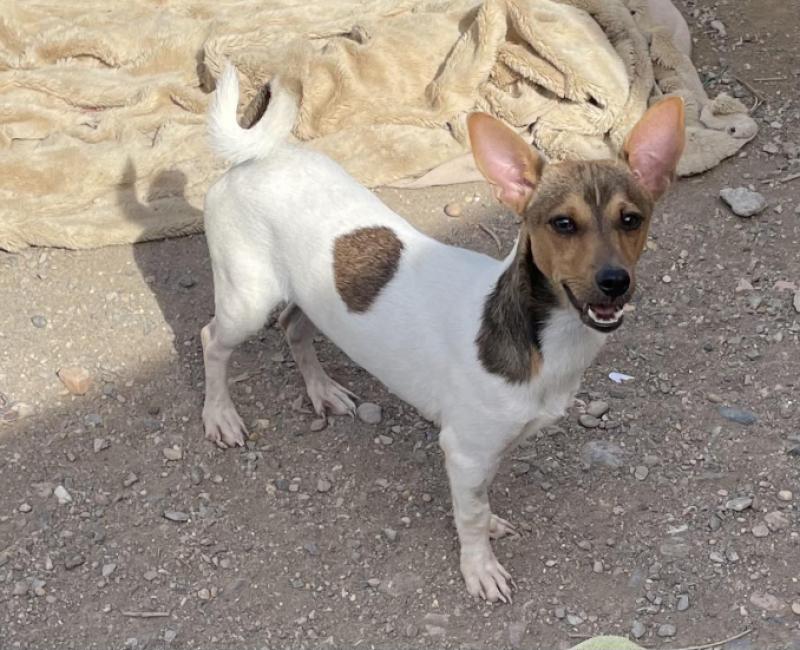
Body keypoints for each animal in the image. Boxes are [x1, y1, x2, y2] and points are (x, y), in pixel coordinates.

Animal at [201, 64, 685, 602]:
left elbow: (479, 500)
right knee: (211, 341)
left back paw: (321, 390)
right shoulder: (465, 449)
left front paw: (488, 525)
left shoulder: (484, 450)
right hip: (246, 302)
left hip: (309, 297)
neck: (545, 341)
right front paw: (480, 566)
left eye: (631, 220)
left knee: (293, 327)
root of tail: (257, 158)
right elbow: (470, 514)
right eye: (563, 224)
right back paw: (220, 416)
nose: (614, 283)